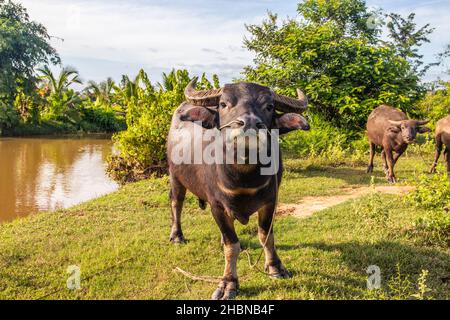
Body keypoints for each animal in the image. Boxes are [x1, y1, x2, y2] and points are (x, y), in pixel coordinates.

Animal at [165, 78, 310, 300]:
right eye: (223, 104)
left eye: (269, 106)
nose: (249, 124)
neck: (244, 178)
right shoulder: (217, 206)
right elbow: (232, 245)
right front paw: (228, 283)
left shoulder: (271, 201)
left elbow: (266, 235)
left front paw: (275, 267)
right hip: (175, 176)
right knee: (176, 203)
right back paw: (177, 236)